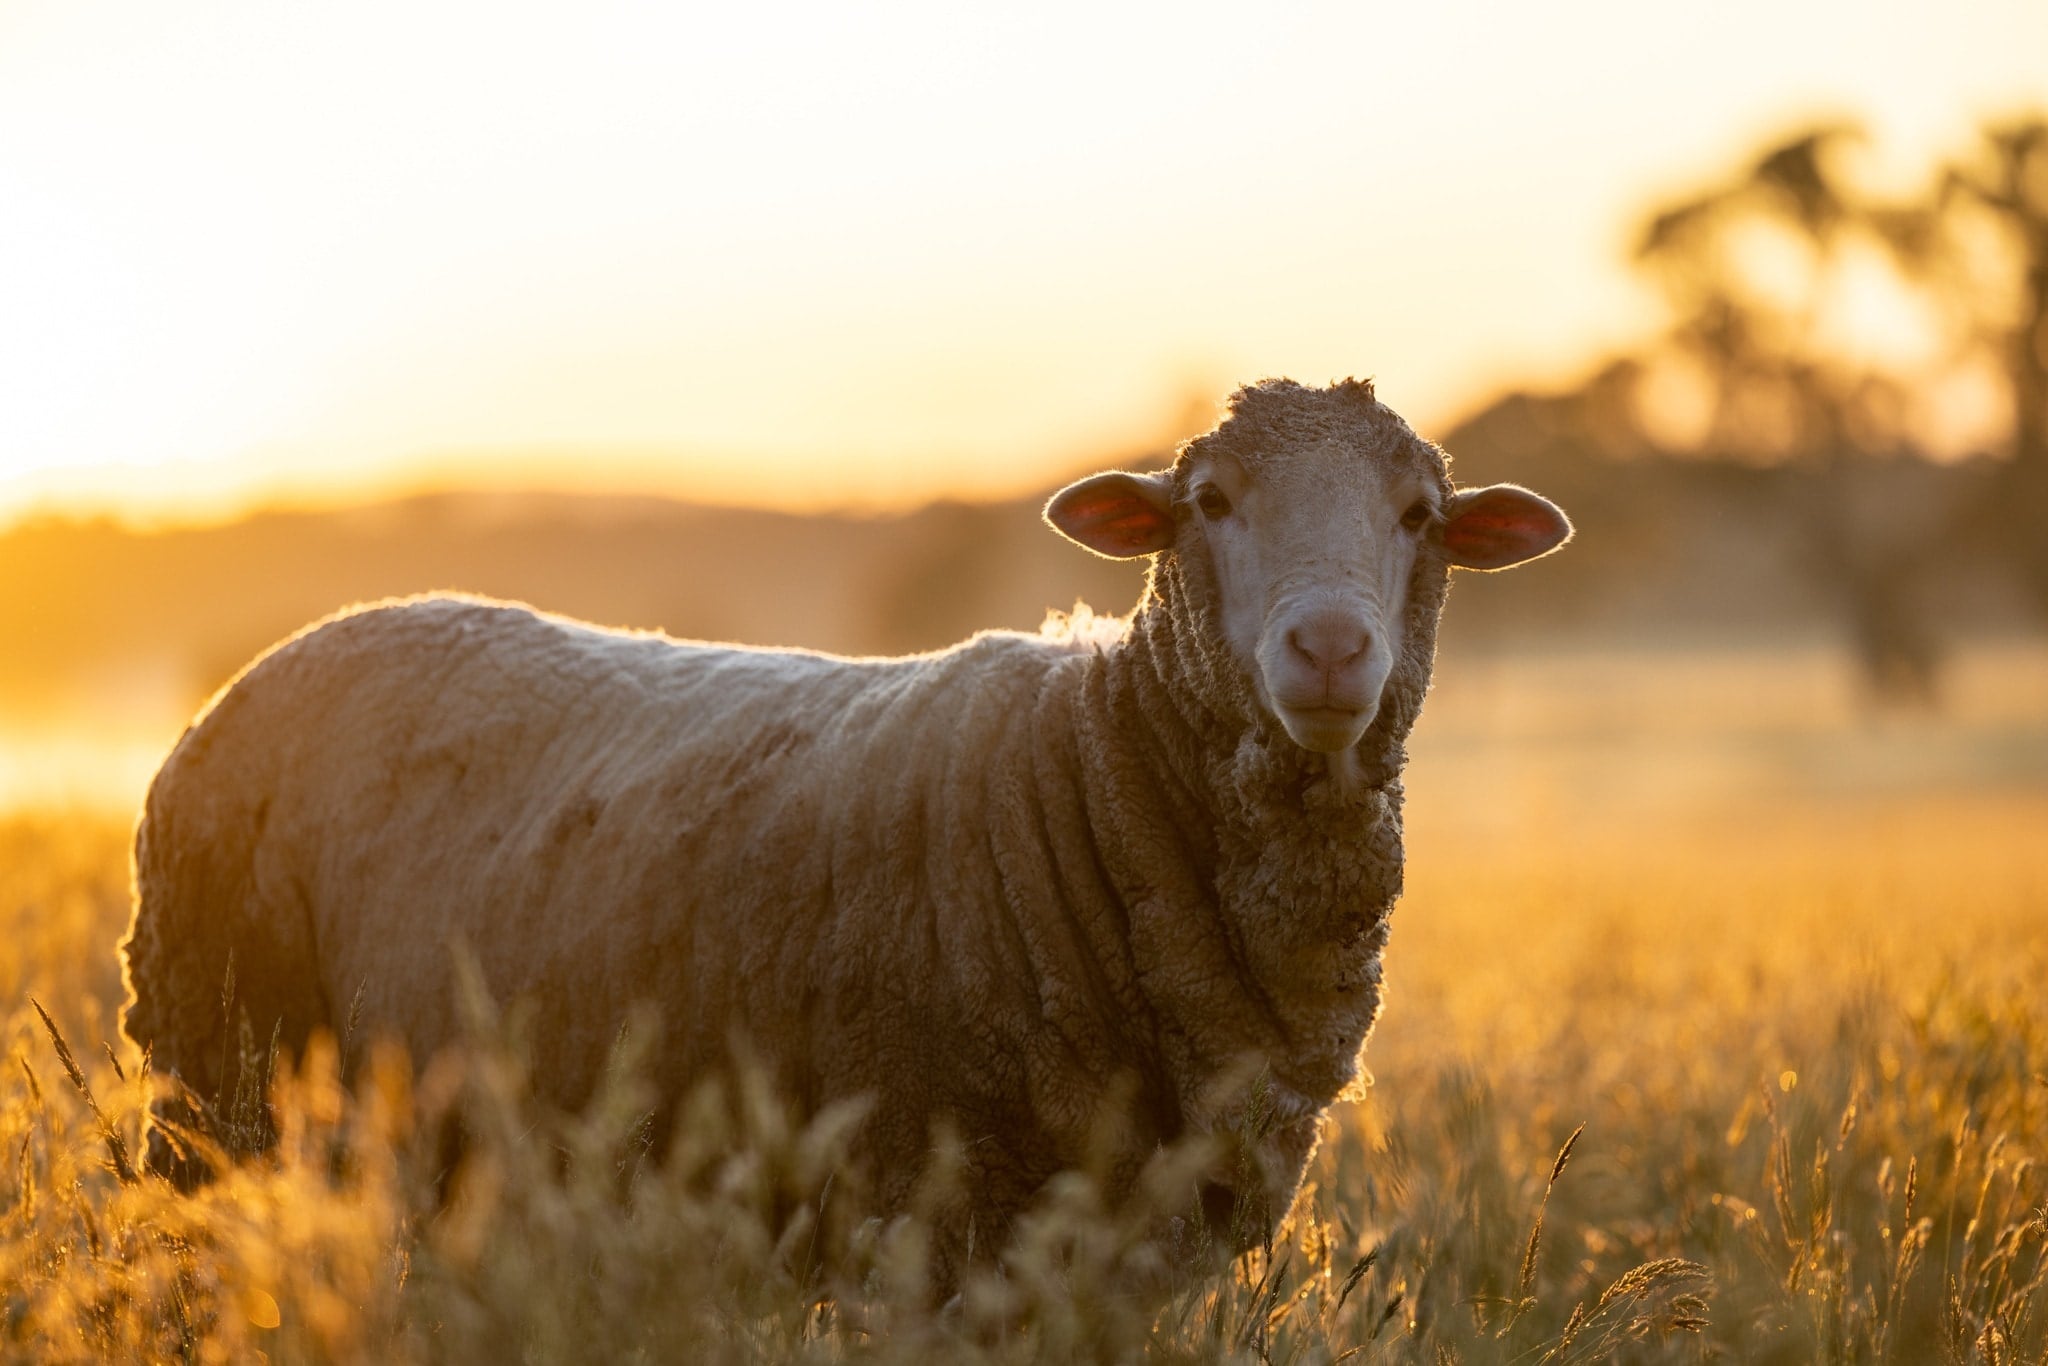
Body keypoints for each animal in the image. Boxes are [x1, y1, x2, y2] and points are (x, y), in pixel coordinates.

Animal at [120, 377, 1570, 1276]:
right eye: (1209, 502)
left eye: (1421, 515)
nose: (1328, 649)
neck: (1093, 771)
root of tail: (278, 657)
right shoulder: (924, 1211)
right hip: (213, 1088)